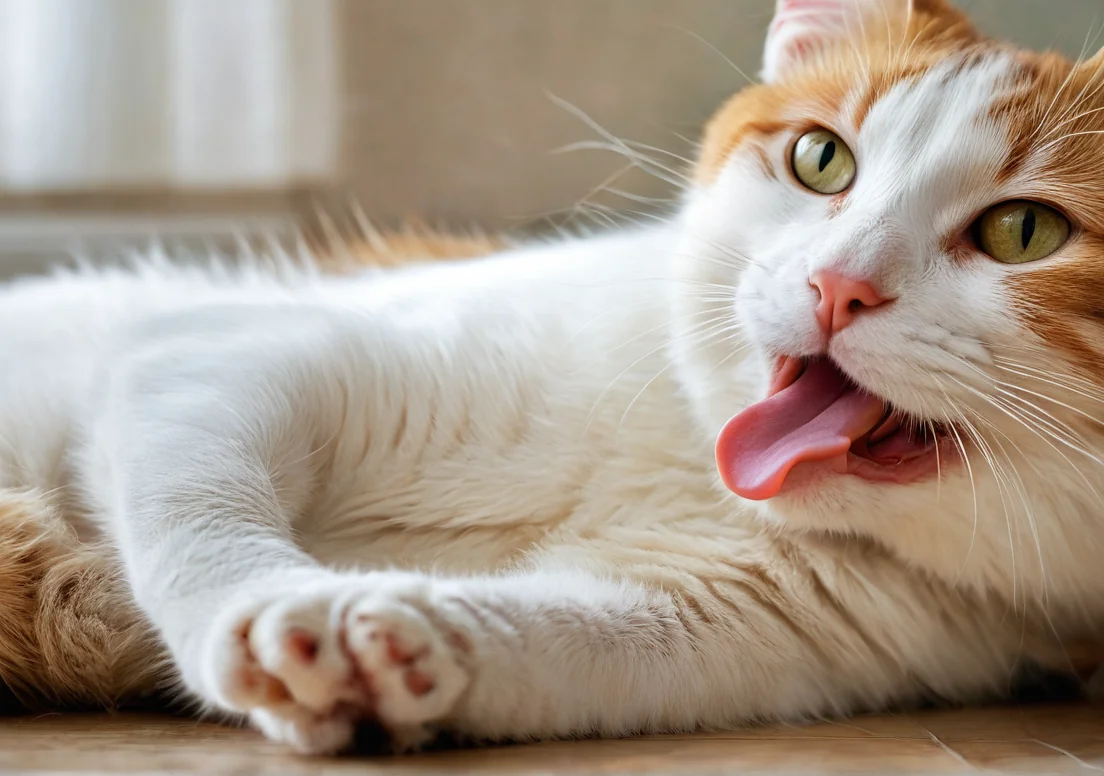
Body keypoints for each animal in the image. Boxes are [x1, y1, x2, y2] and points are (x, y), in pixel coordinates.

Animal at [2, 0, 1104, 755]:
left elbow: (562, 635)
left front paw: (409, 637)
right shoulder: (222, 349)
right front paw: (271, 608)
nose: (837, 286)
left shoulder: (736, 619)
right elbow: (206, 498)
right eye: (821, 160)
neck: (685, 462)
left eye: (1024, 231)